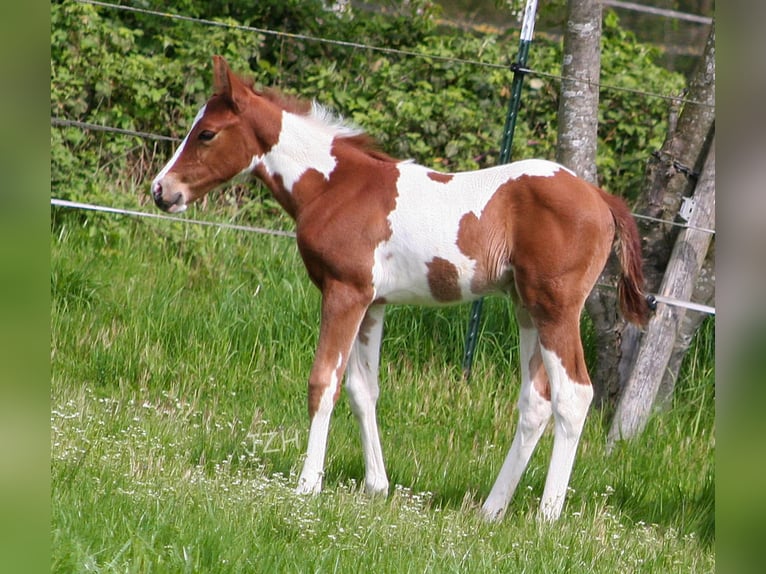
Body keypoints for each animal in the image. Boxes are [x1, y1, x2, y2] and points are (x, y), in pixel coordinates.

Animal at [151, 56, 648, 522]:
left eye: (207, 134)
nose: (161, 190)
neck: (335, 186)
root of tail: (601, 199)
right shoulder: (373, 304)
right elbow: (362, 388)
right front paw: (377, 487)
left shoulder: (344, 292)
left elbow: (323, 382)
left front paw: (308, 484)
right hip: (526, 309)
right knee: (536, 403)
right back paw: (490, 511)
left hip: (555, 308)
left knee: (574, 395)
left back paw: (546, 516)